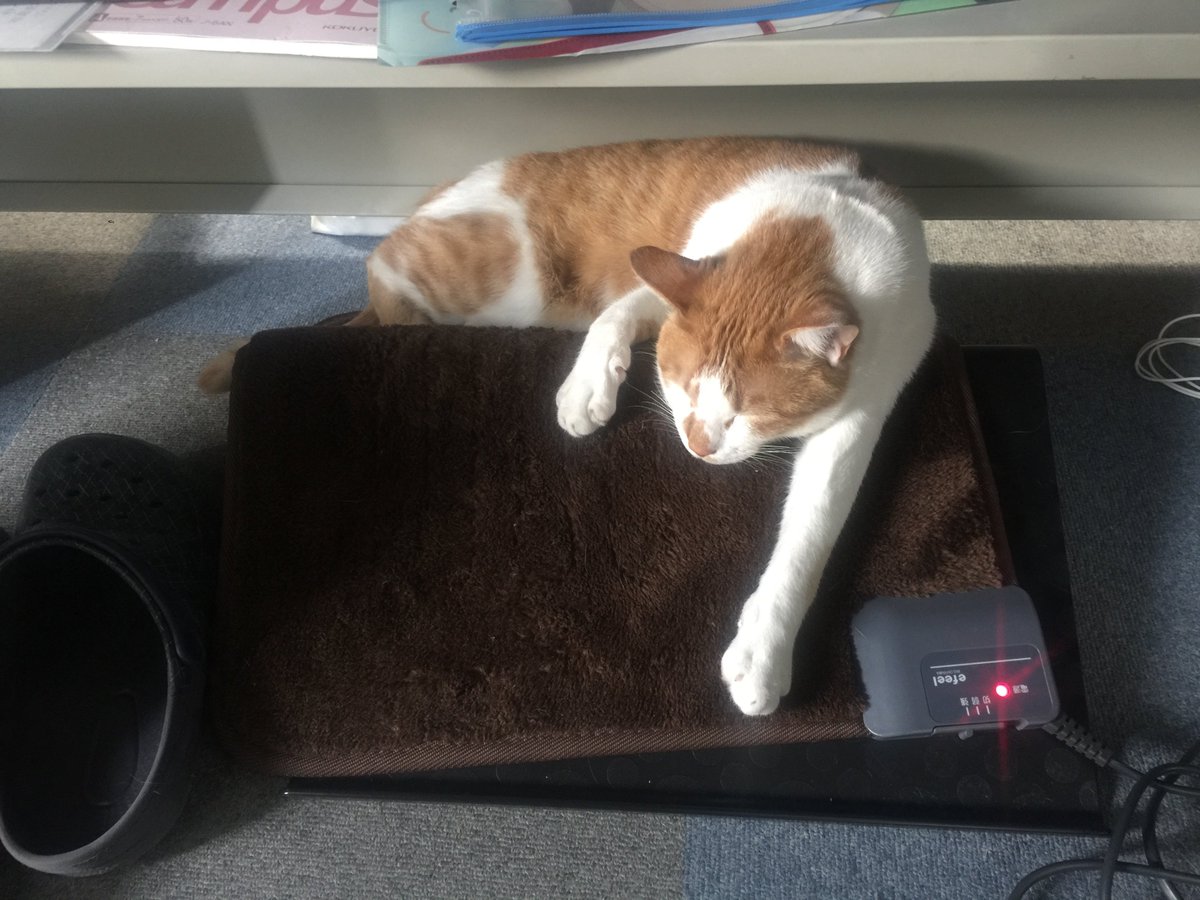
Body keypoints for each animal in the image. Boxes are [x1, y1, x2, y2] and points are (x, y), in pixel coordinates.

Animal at [199, 137, 936, 716]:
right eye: (680, 385)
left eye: (747, 412)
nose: (698, 446)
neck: (818, 223)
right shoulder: (669, 277)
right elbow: (614, 316)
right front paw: (586, 390)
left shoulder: (862, 412)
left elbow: (807, 538)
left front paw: (763, 650)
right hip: (504, 281)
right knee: (383, 271)